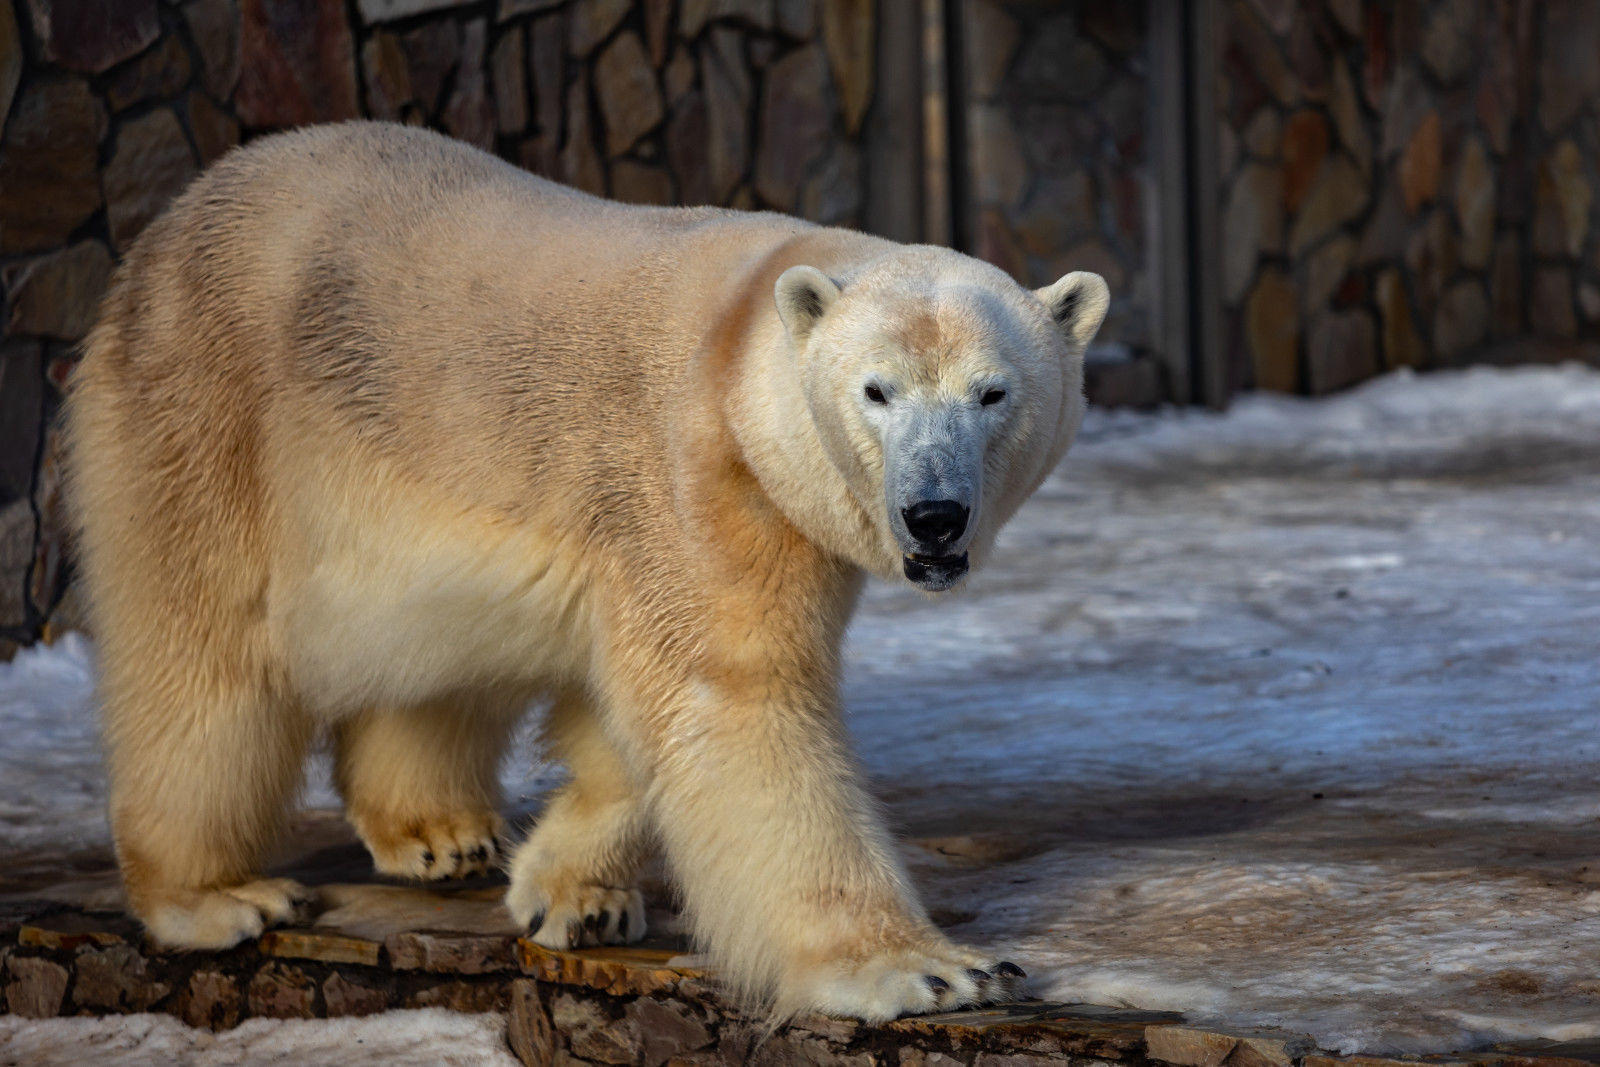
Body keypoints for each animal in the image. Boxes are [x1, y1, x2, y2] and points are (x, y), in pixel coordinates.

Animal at [68, 120, 1107, 1023]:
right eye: (876, 391)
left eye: (993, 392)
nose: (933, 515)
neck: (738, 341)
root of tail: (169, 226)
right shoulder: (690, 475)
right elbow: (737, 697)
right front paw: (932, 970)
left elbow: (637, 715)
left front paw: (574, 892)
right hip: (210, 411)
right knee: (202, 653)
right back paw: (216, 896)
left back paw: (439, 833)